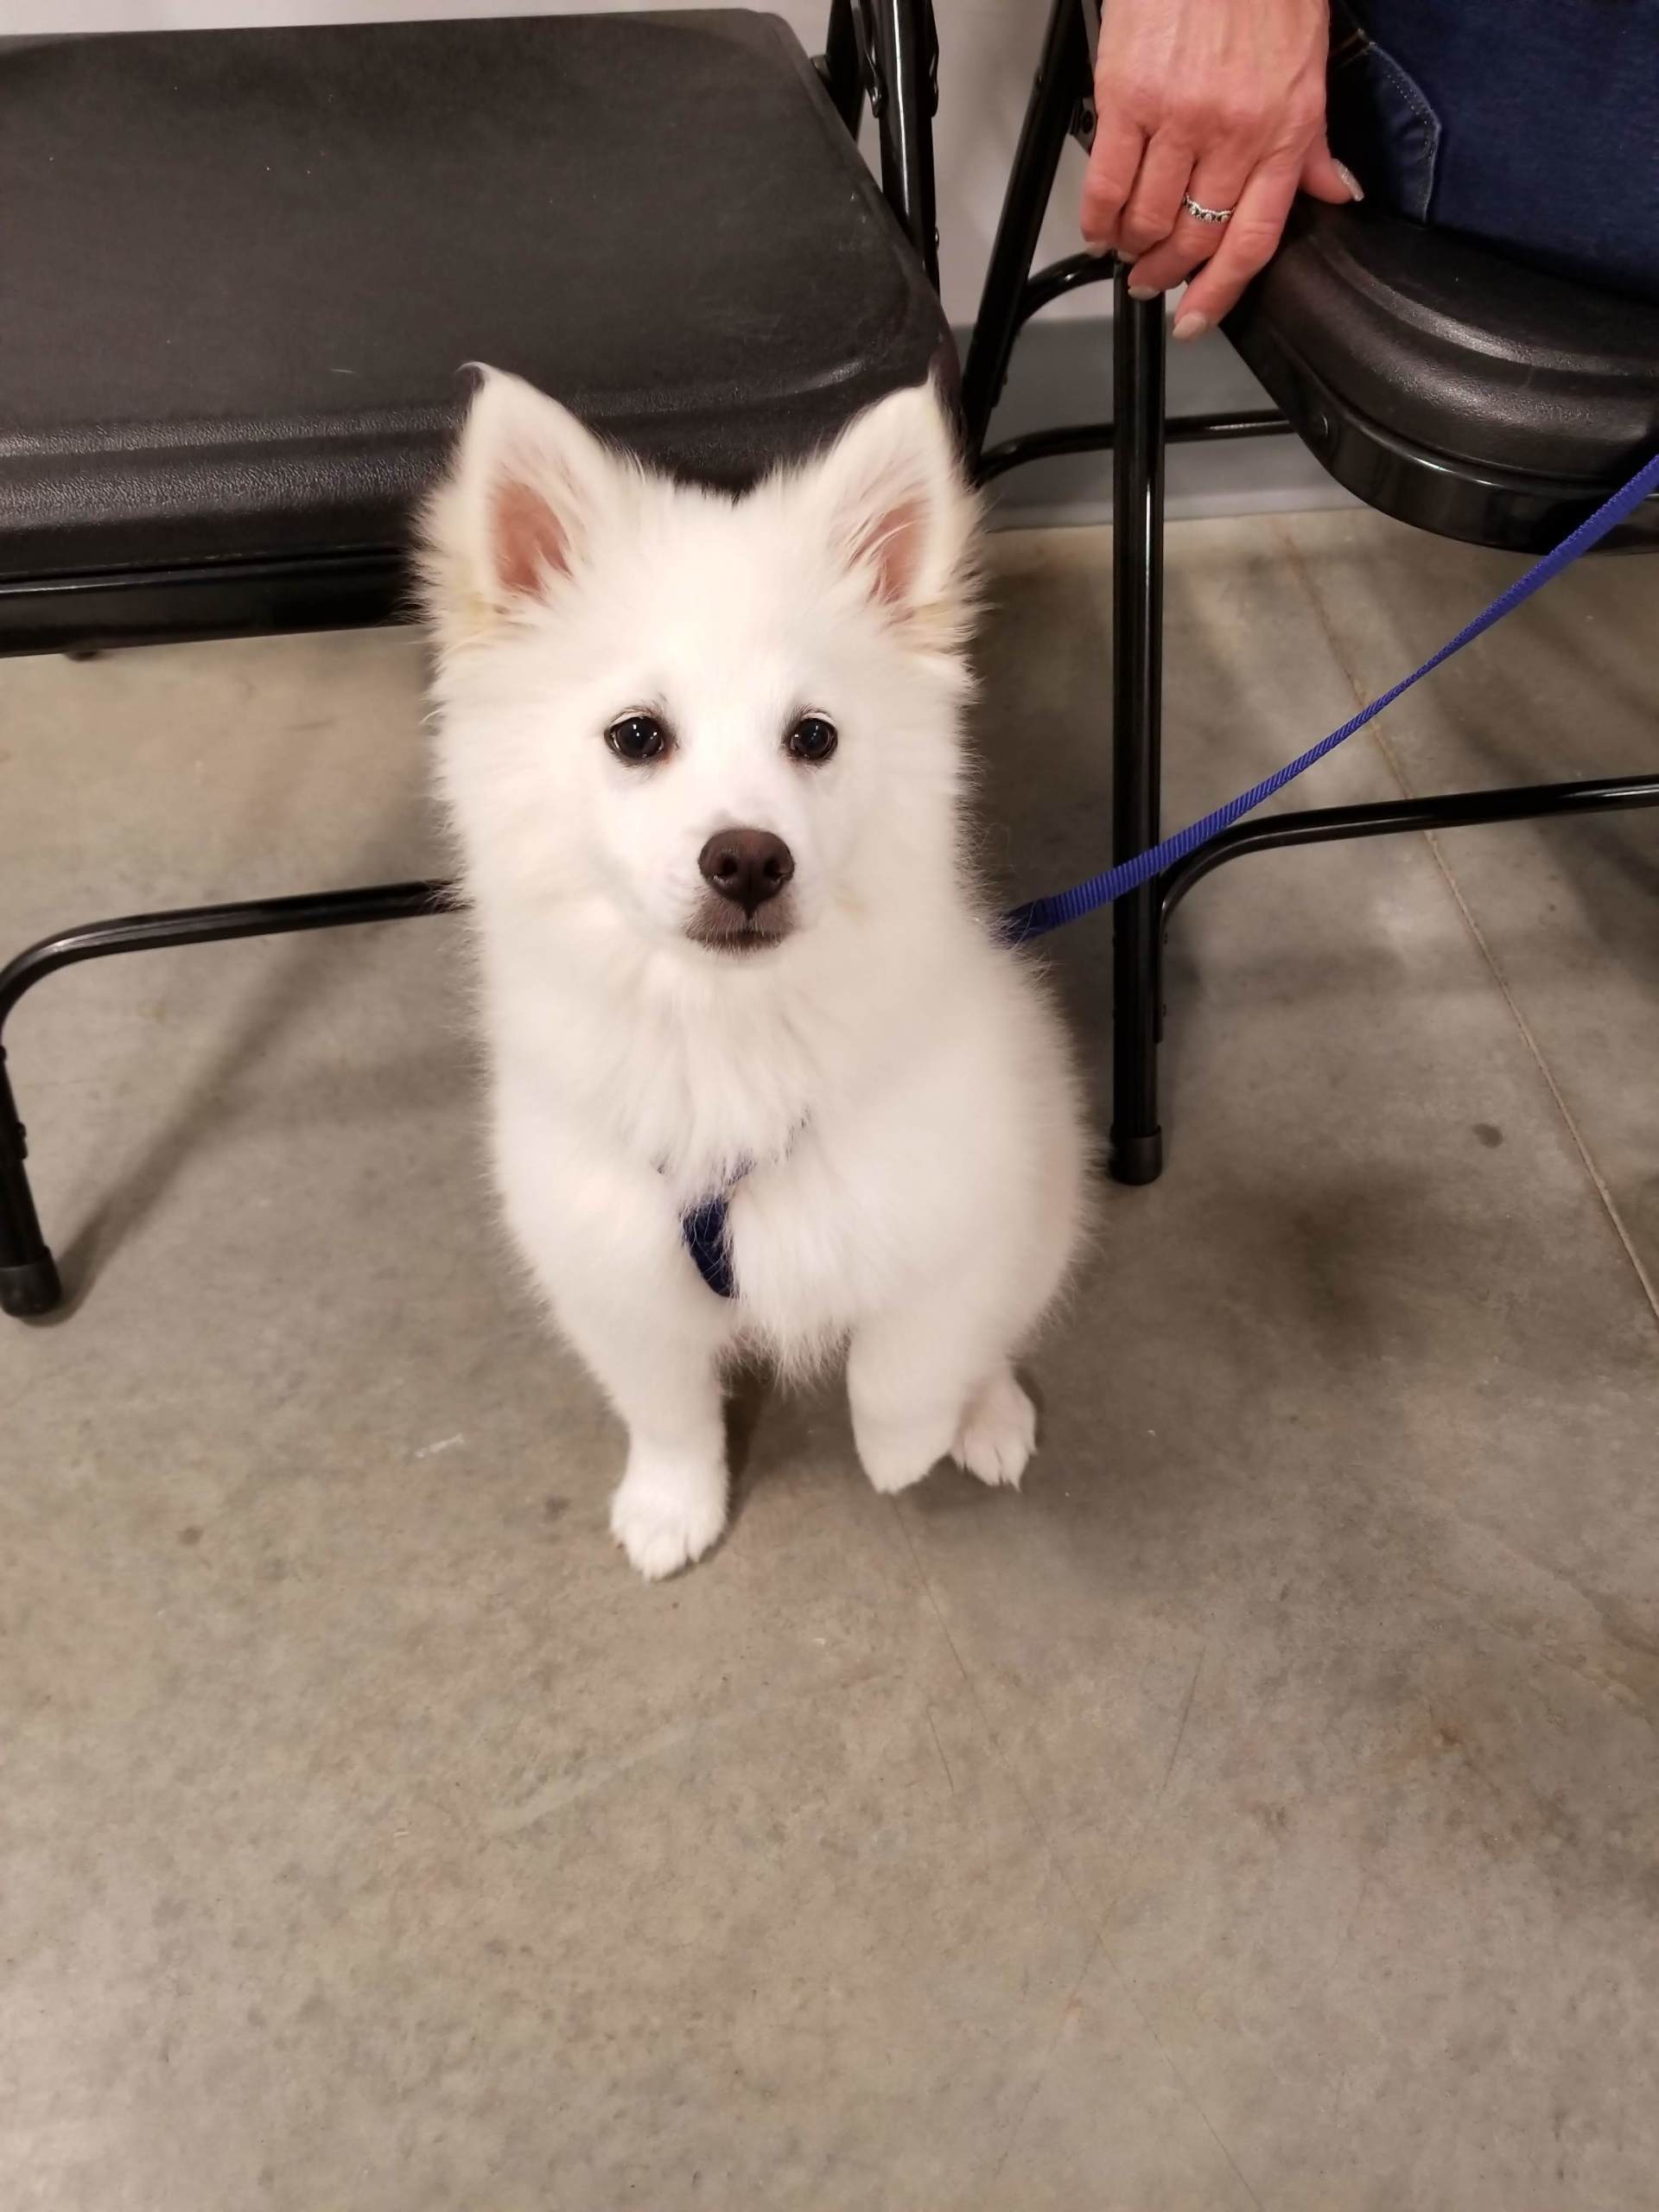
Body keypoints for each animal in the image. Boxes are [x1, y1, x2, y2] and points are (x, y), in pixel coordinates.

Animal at [421, 369, 1087, 1579]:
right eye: (637, 735)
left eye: (813, 736)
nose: (746, 859)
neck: (723, 1031)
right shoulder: (611, 1266)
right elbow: (666, 1407)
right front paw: (670, 1505)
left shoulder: (956, 1206)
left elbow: (908, 1356)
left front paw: (903, 1452)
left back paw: (990, 1414)